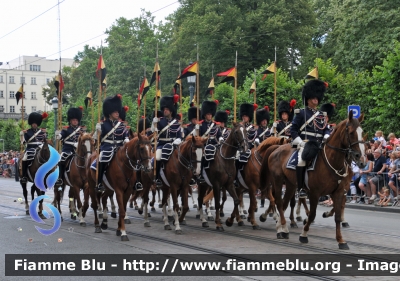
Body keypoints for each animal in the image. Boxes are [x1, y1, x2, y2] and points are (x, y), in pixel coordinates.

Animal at [260, 110, 366, 248]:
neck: (332, 161)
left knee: (284, 203)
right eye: (352, 132)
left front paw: (341, 240)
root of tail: (276, 148)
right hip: (277, 182)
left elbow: (337, 214)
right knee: (278, 201)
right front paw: (304, 234)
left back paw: (283, 227)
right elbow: (312, 214)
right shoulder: (315, 193)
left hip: (290, 185)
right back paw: (280, 228)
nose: (361, 159)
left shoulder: (339, 191)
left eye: (362, 132)